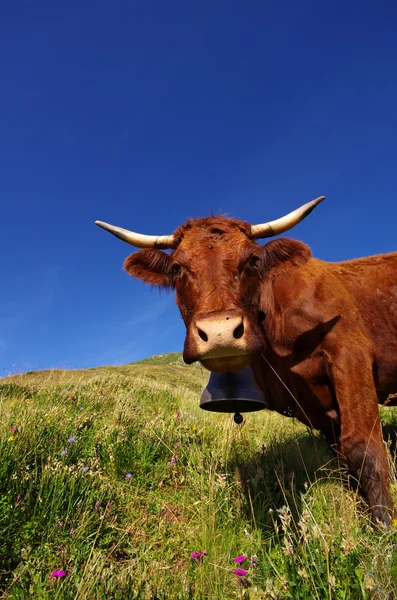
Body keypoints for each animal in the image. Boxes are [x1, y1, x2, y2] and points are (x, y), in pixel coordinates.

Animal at [96, 198, 396, 524]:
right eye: (177, 268)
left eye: (252, 260)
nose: (220, 333)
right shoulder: (317, 408)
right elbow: (343, 461)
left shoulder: (350, 357)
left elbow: (362, 448)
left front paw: (383, 526)